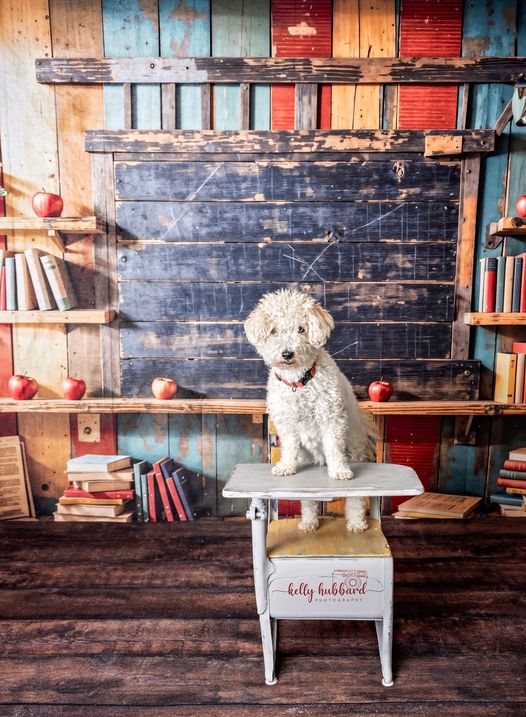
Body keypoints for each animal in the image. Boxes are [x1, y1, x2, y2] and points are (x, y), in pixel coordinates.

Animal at [245, 288, 378, 536]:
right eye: (274, 330)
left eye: (301, 329)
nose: (287, 353)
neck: (299, 382)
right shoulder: (286, 425)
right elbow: (288, 449)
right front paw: (286, 466)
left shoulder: (332, 419)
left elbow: (334, 449)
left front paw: (339, 471)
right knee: (308, 498)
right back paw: (308, 522)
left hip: (354, 448)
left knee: (355, 498)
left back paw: (356, 523)